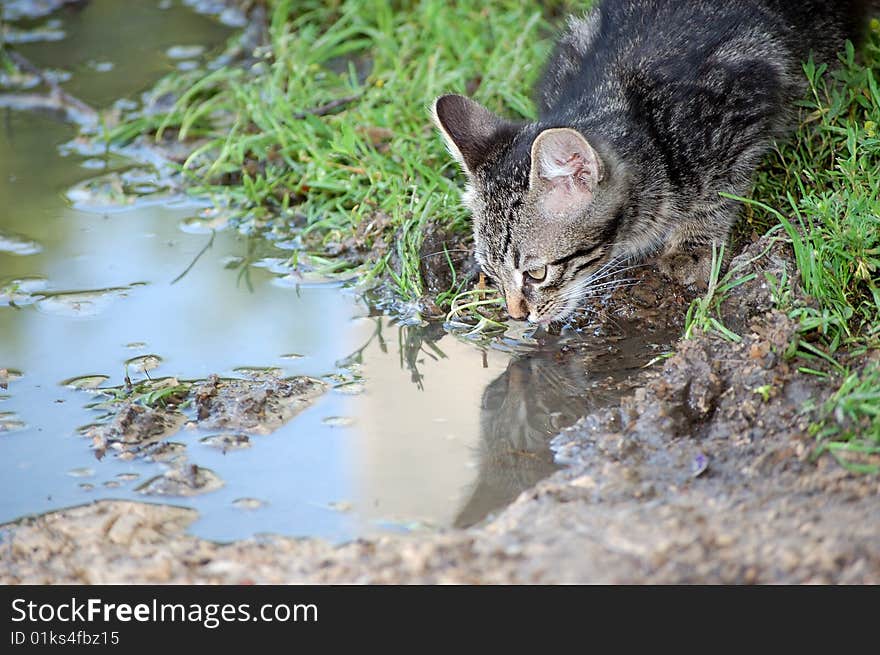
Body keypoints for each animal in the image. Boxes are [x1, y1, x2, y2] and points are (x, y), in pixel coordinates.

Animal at [430, 0, 868, 324]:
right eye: (491, 274)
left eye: (537, 274)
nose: (517, 316)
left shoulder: (744, 97)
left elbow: (720, 188)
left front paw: (693, 246)